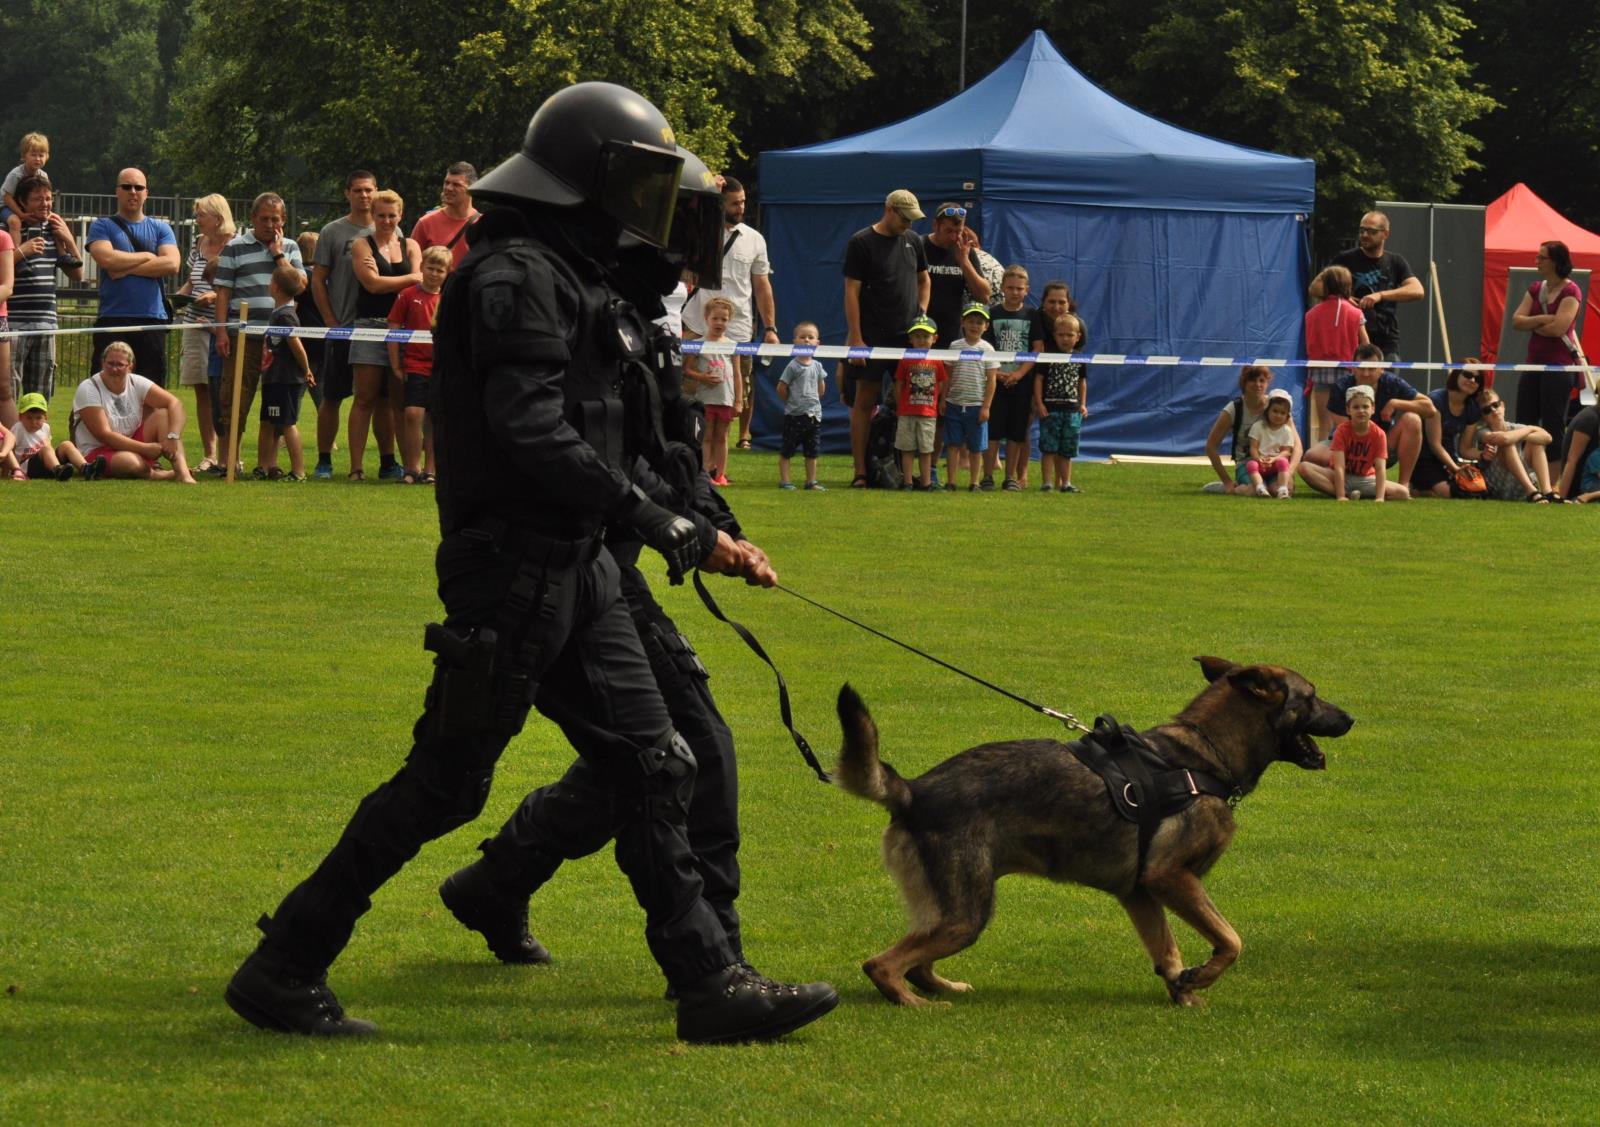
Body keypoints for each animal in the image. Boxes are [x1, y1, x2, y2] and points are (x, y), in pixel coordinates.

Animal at [838, 656, 1350, 1005]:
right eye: (1312, 696)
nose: (1352, 718)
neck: (1204, 756)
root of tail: (915, 790)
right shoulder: (1171, 878)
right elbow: (1231, 940)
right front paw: (1202, 977)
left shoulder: (1140, 892)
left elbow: (1168, 952)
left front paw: (1183, 991)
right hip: (966, 913)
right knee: (881, 965)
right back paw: (912, 1002)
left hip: (952, 909)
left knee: (916, 961)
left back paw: (941, 987)